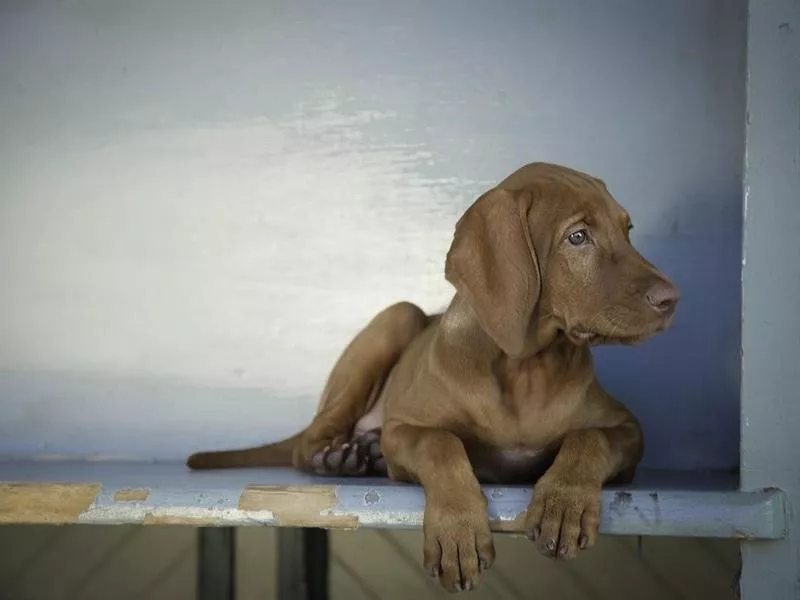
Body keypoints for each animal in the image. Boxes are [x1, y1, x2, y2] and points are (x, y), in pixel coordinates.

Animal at [189, 162, 680, 592]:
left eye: (627, 230)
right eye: (577, 237)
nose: (672, 298)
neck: (524, 368)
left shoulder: (627, 429)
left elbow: (588, 438)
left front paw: (565, 502)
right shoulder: (405, 427)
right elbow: (441, 444)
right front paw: (457, 533)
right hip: (399, 316)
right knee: (307, 443)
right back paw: (339, 457)